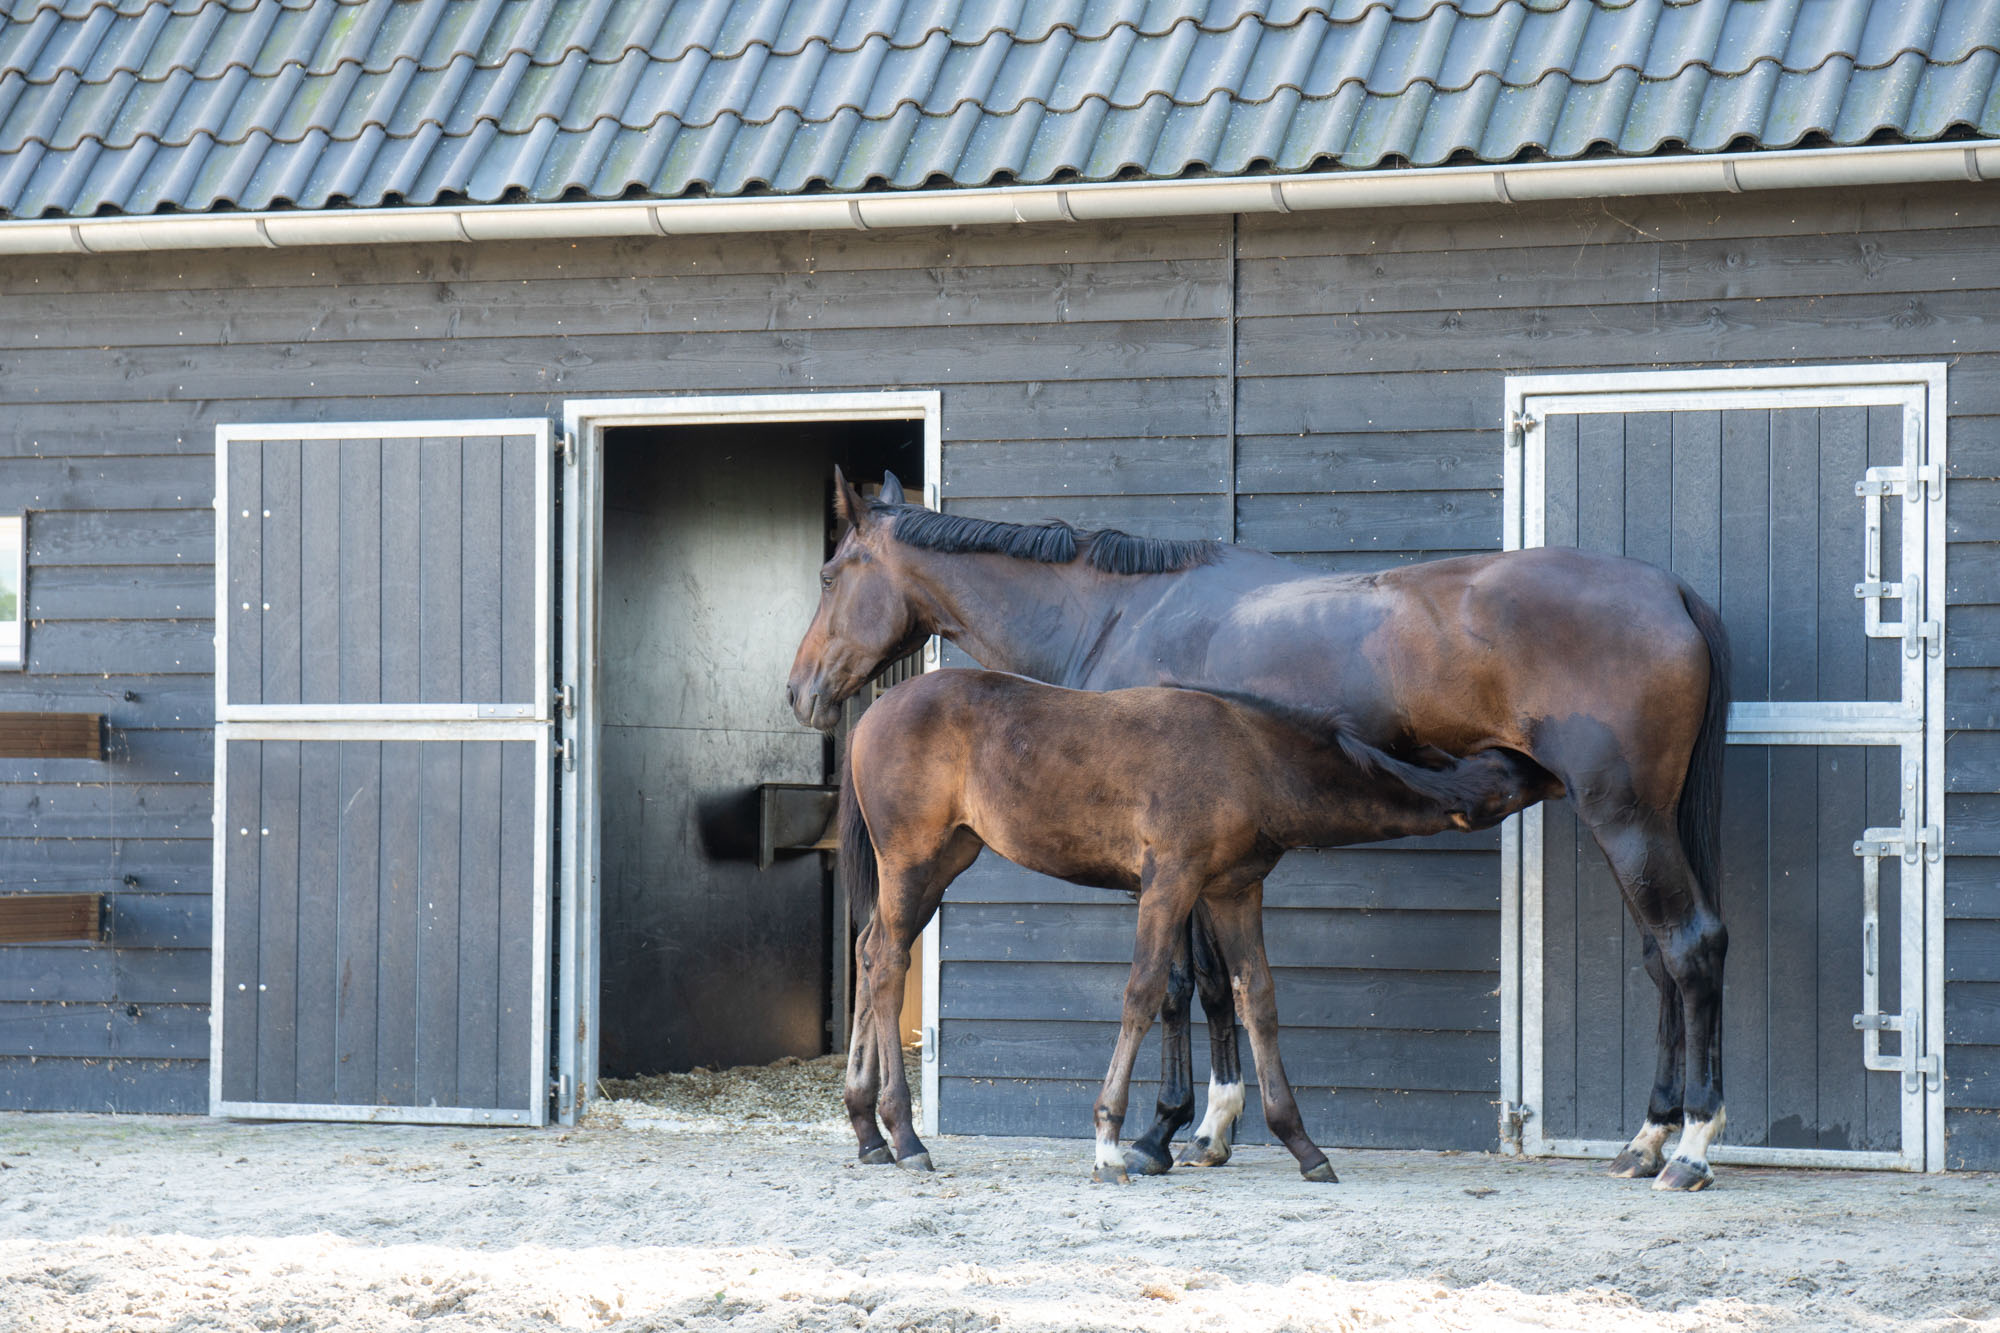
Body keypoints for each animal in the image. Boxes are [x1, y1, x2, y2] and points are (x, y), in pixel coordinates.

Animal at [832, 668, 1544, 1176]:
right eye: (1505, 782)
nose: (1549, 766)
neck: (1249, 758)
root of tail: (871, 715)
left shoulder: (1234, 890)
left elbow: (1255, 996)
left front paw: (1300, 1143)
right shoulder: (1169, 881)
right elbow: (1145, 991)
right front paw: (1111, 1142)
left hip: (946, 858)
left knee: (870, 950)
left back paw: (868, 1131)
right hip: (913, 859)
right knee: (888, 962)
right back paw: (905, 1134)